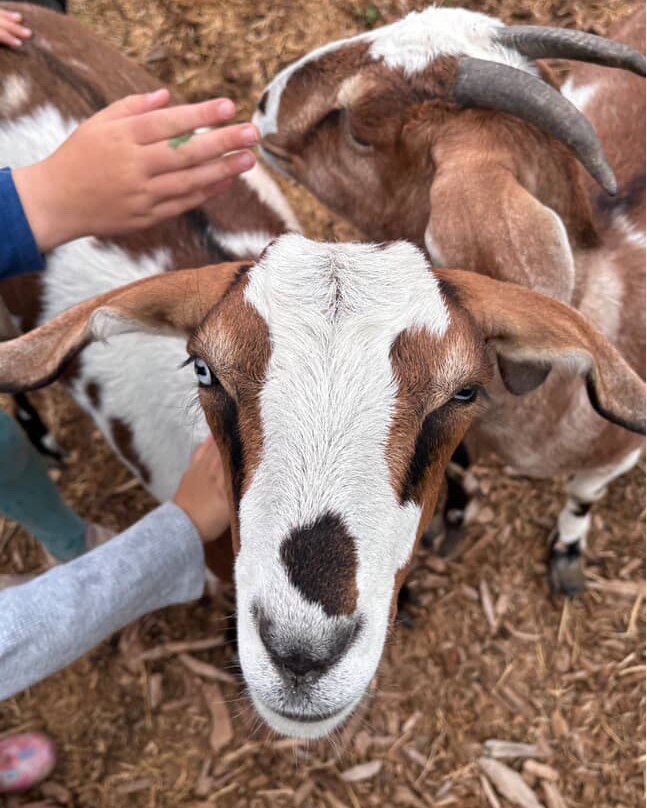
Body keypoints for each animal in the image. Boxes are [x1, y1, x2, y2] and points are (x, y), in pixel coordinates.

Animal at [253, 6, 646, 593]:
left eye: (359, 128)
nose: (263, 105)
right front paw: (453, 520)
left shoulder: (618, 454)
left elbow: (581, 494)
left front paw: (568, 555)